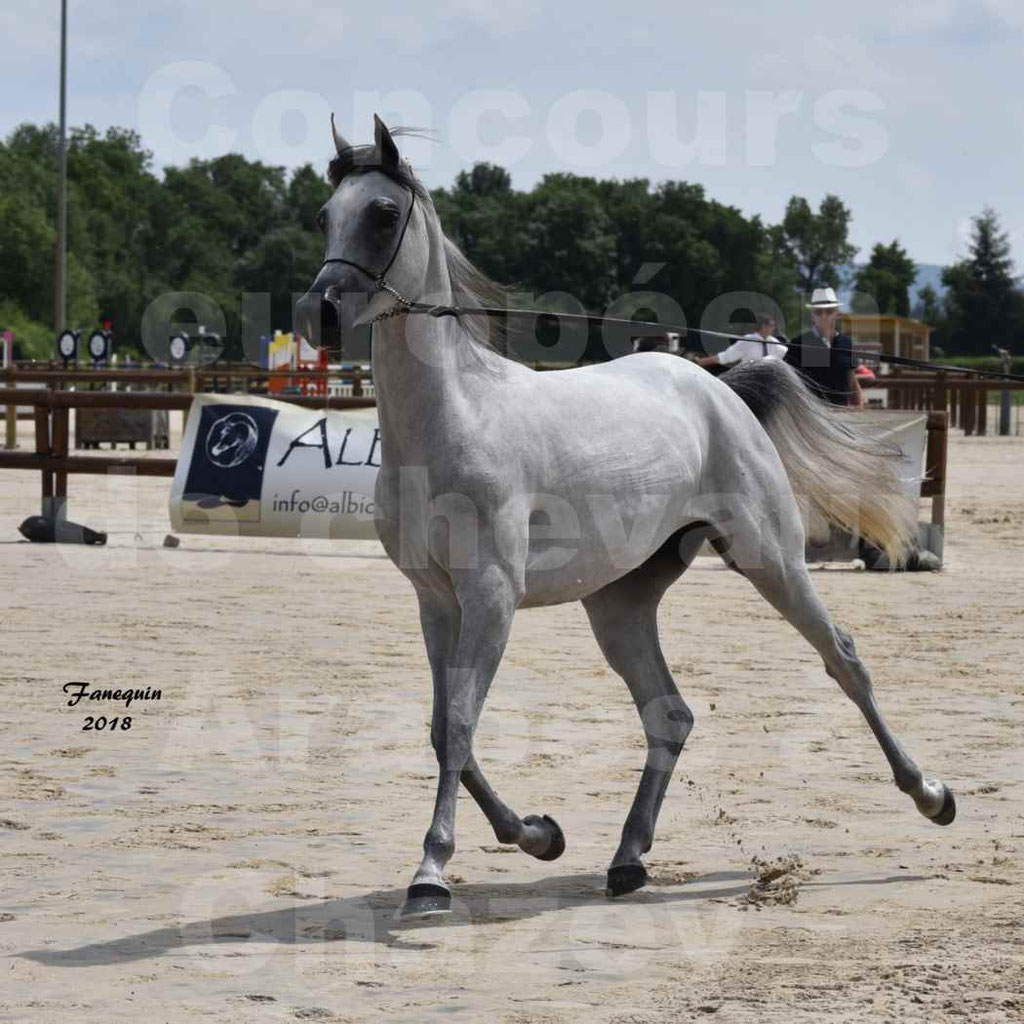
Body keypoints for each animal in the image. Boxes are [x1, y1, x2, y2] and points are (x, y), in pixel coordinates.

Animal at [299, 117, 958, 921]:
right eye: (325, 215)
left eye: (383, 213)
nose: (321, 314)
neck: (456, 419)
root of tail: (717, 386)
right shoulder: (436, 601)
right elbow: (443, 728)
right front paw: (538, 835)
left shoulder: (491, 596)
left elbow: (457, 723)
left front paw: (431, 874)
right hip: (620, 602)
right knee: (668, 714)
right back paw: (627, 860)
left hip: (769, 558)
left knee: (844, 659)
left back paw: (932, 795)